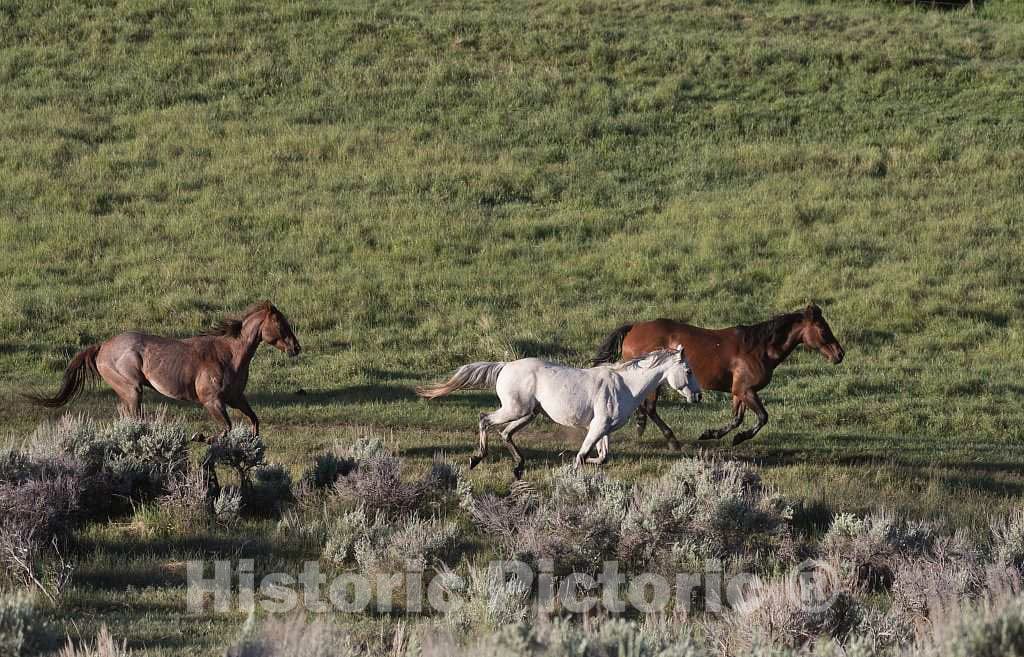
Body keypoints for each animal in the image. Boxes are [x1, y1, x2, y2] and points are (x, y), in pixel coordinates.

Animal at [26, 301, 301, 440]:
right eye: (280, 323)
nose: (296, 348)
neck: (229, 354)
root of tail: (102, 347)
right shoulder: (212, 402)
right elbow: (226, 429)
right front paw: (200, 437)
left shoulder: (236, 398)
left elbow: (253, 421)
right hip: (133, 390)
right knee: (133, 418)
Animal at [417, 346, 701, 478]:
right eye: (688, 371)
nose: (698, 396)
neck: (624, 385)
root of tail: (504, 366)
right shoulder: (597, 427)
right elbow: (582, 456)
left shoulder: (603, 429)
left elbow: (602, 457)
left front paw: (572, 460)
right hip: (515, 409)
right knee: (485, 420)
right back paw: (476, 458)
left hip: (528, 413)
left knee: (505, 433)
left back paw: (518, 467)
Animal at [591, 304, 844, 447]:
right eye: (823, 330)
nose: (840, 354)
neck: (758, 348)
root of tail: (633, 328)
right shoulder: (746, 390)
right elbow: (763, 417)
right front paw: (738, 437)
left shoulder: (739, 392)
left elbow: (736, 419)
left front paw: (713, 434)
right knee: (650, 408)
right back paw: (672, 441)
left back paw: (642, 430)